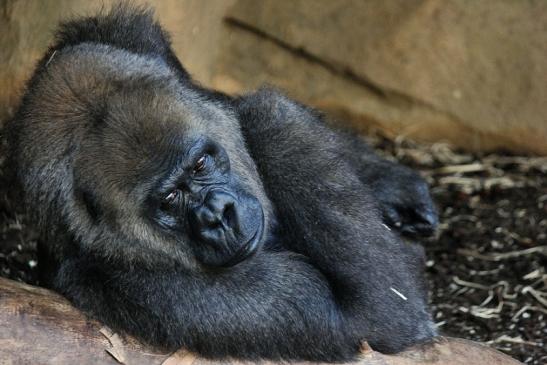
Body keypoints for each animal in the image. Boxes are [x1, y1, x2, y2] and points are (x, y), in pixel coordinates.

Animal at [4, 5, 438, 362]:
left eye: (200, 164)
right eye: (170, 199)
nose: (218, 215)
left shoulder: (137, 44)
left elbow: (226, 105)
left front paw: (391, 182)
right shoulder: (132, 283)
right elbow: (377, 317)